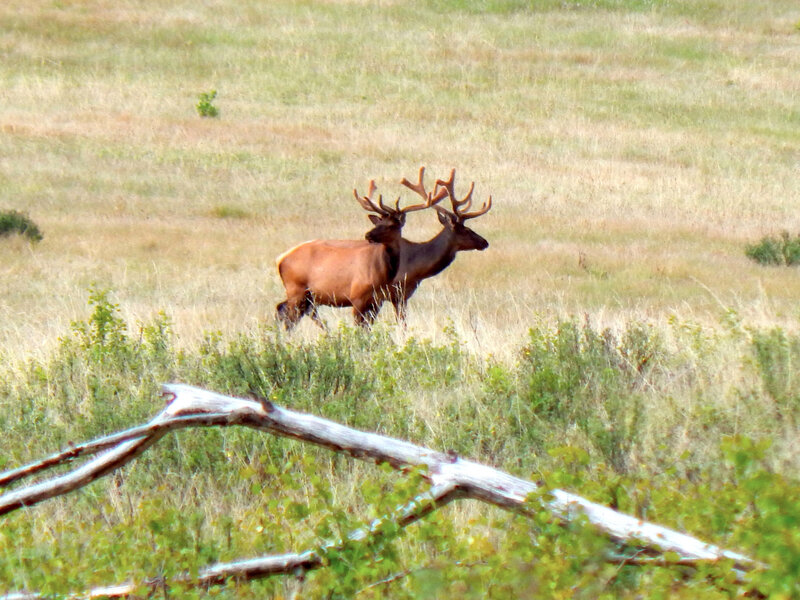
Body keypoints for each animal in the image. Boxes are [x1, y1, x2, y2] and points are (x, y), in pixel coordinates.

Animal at [278, 176, 446, 328]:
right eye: (379, 222)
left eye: (392, 225)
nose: (368, 235)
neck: (383, 275)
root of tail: (280, 259)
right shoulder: (357, 297)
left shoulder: (377, 300)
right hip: (296, 289)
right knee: (288, 319)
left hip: (306, 296)